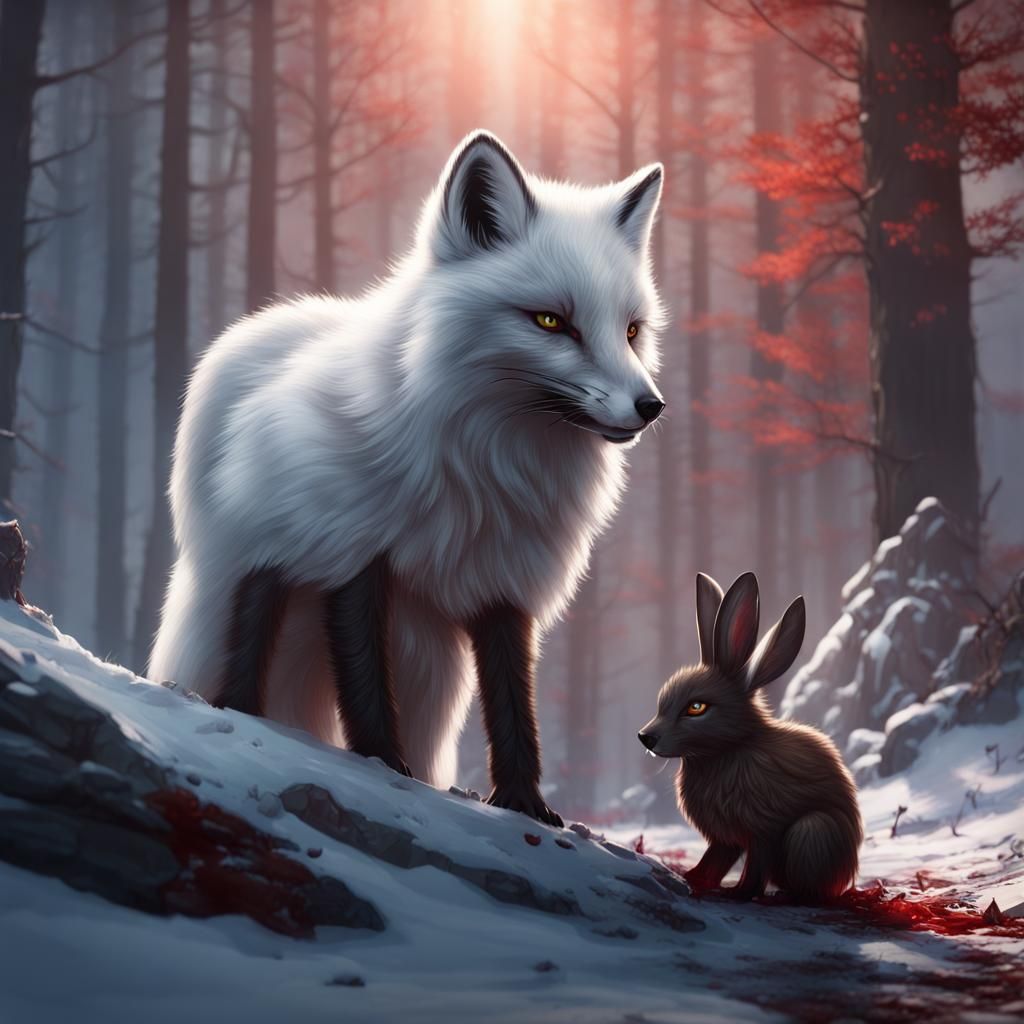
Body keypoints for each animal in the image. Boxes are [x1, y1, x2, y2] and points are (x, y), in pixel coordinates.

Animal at [149, 130, 666, 825]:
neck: (484, 470)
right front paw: (382, 765)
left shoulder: (504, 576)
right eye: (551, 322)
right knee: (248, 641)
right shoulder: (351, 548)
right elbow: (363, 675)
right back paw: (239, 710)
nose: (650, 406)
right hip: (267, 557)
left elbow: (511, 696)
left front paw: (525, 804)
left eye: (632, 331)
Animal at [638, 571, 862, 904]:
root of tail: (845, 876)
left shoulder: (763, 830)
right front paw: (689, 878)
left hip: (811, 831)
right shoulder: (725, 838)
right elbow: (714, 860)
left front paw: (738, 893)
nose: (645, 737)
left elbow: (754, 868)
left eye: (696, 707)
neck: (731, 748)